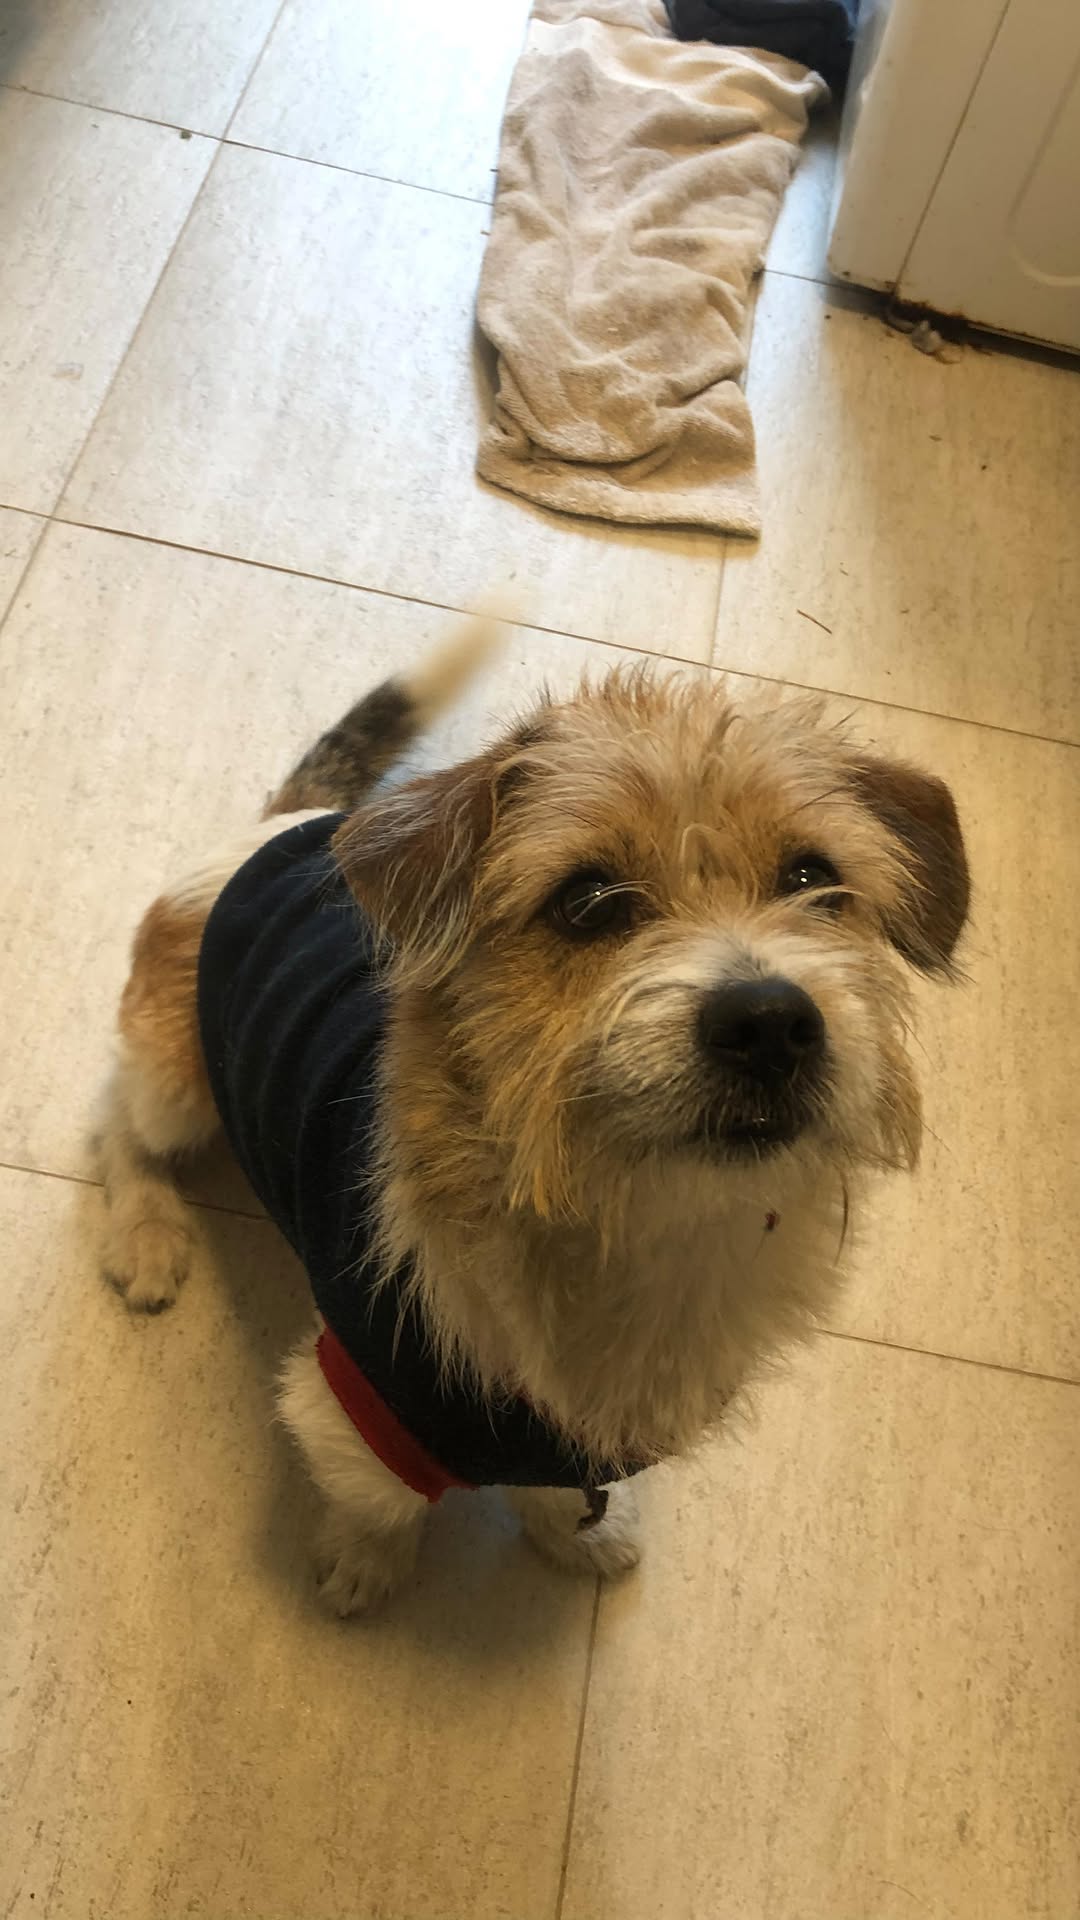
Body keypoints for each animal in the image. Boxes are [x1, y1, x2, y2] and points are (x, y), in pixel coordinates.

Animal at [98, 619, 969, 1614]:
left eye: (813, 877)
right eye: (587, 902)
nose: (770, 1023)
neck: (641, 1223)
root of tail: (278, 829)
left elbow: (559, 1487)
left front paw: (576, 1535)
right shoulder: (363, 1391)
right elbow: (377, 1499)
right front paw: (363, 1564)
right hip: (177, 1082)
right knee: (117, 1122)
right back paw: (146, 1237)